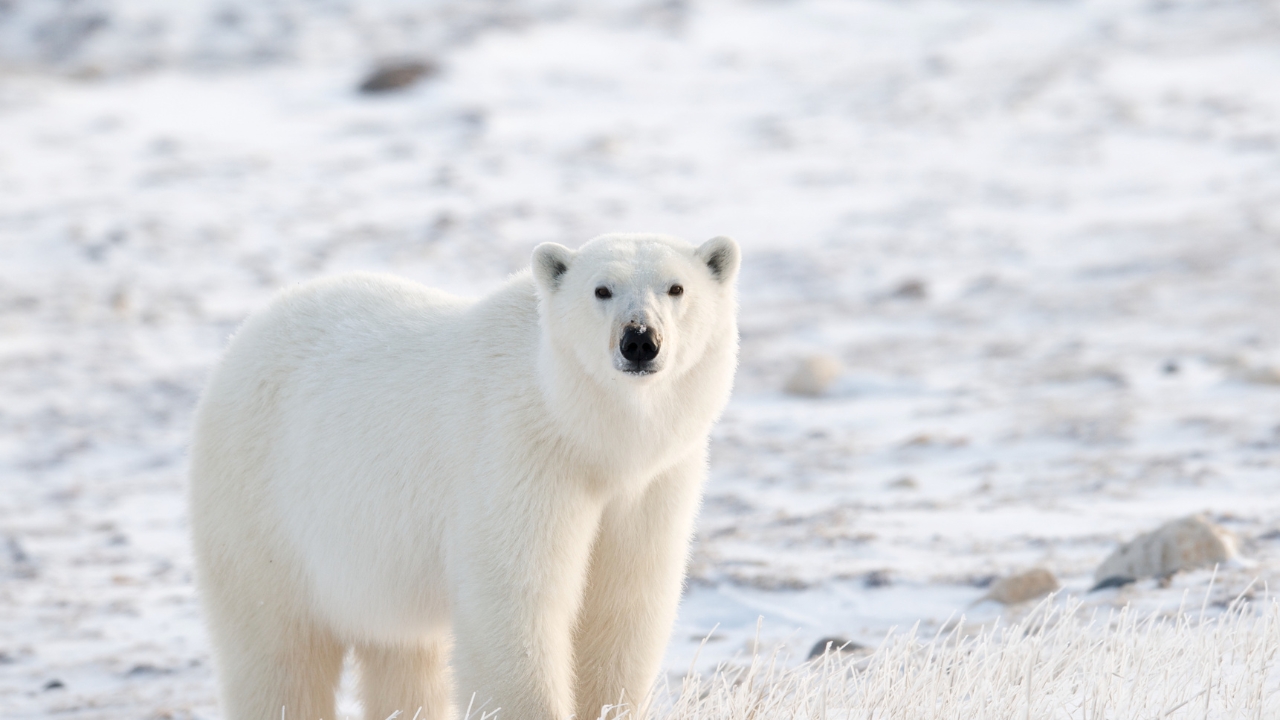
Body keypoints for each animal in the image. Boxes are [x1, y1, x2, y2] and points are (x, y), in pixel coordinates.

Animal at [188, 233, 741, 720]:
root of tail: (244, 336)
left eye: (676, 288)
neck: (587, 435)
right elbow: (515, 605)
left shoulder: (652, 484)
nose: (640, 340)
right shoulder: (517, 458)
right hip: (262, 514)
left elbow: (622, 608)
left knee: (404, 655)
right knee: (277, 653)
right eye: (601, 289)